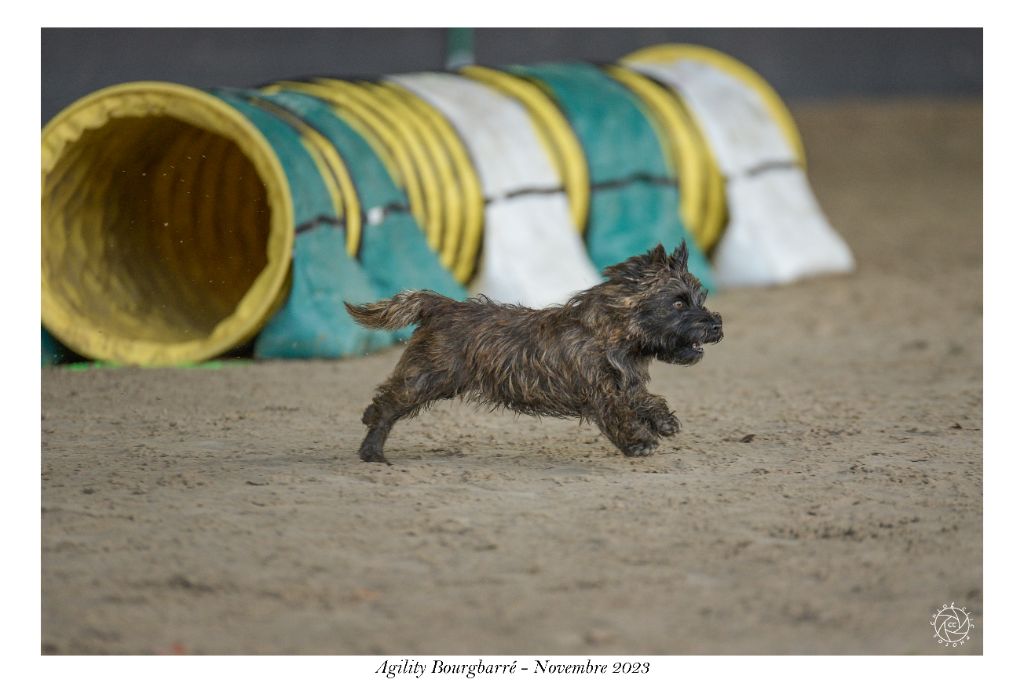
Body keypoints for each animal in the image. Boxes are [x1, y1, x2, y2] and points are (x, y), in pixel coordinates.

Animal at [348, 241, 724, 464]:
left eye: (700, 298)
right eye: (678, 303)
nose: (716, 324)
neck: (614, 335)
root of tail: (442, 306)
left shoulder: (625, 383)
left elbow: (645, 399)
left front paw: (663, 421)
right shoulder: (599, 390)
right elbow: (619, 413)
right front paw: (639, 441)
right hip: (428, 376)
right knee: (387, 404)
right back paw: (372, 447)